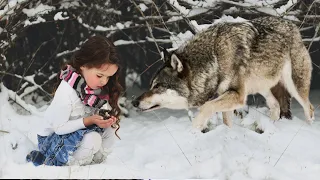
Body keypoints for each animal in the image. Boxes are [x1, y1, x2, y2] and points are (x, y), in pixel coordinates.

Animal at [131, 16, 314, 131]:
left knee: (309, 108)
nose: (134, 102)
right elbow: (226, 121)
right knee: (276, 106)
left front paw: (194, 131)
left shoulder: (237, 95)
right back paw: (270, 129)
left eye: (158, 86)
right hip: (264, 88)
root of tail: (293, 26)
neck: (216, 58)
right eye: (151, 85)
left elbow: (206, 107)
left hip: (295, 87)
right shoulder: (226, 95)